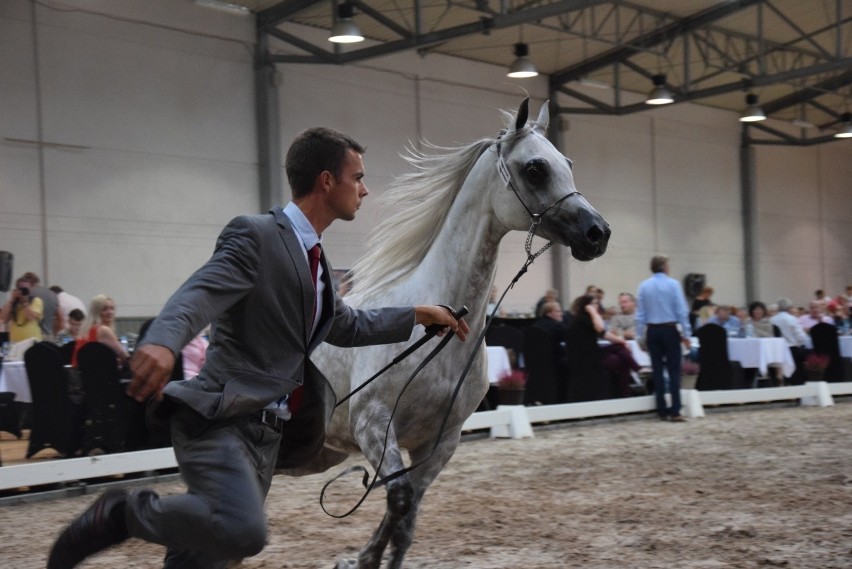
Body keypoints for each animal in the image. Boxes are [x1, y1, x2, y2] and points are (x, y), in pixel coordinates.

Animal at [302, 100, 608, 564]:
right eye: (536, 168)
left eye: (568, 163)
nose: (598, 233)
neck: (437, 336)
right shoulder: (373, 425)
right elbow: (398, 499)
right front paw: (358, 559)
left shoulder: (440, 443)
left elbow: (407, 519)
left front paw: (365, 558)